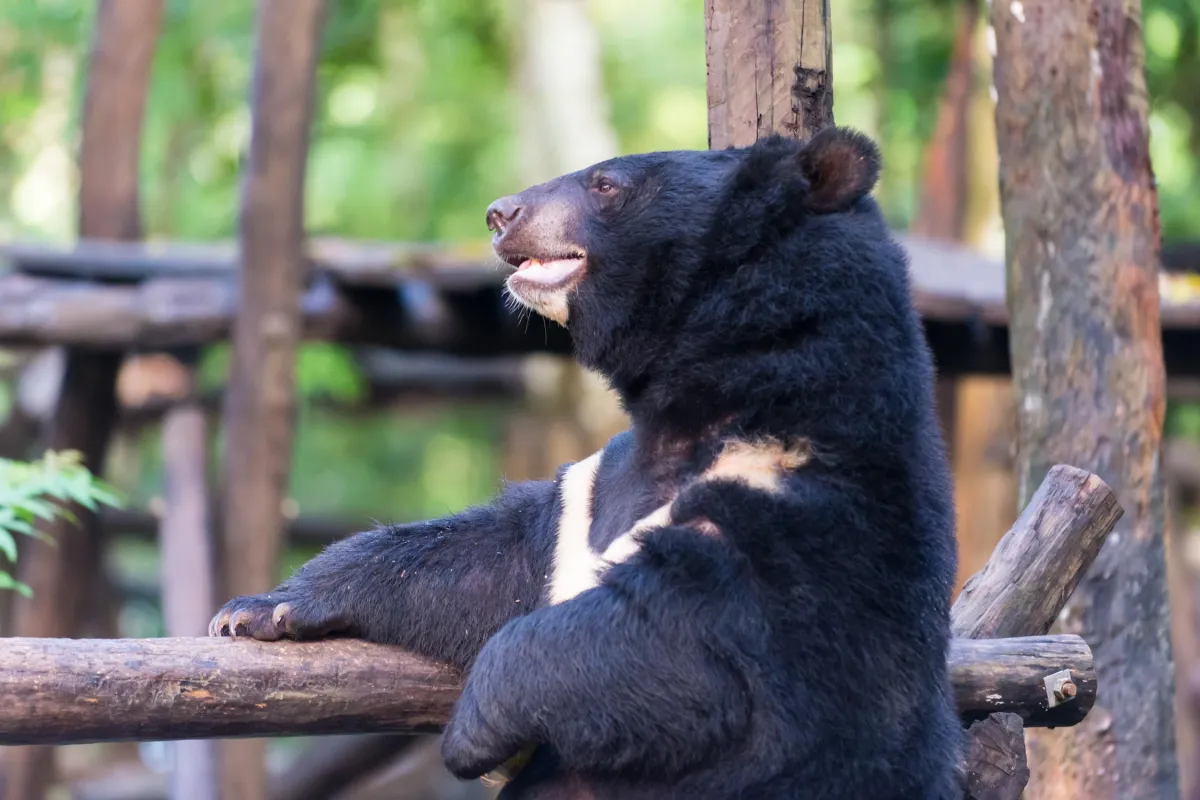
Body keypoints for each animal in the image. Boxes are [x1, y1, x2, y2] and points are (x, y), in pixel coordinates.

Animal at [210, 126, 964, 800]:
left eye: (606, 184)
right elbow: (485, 564)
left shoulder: (809, 500)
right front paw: (256, 612)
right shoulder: (588, 489)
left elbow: (683, 641)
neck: (707, 399)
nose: (500, 213)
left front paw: (475, 731)